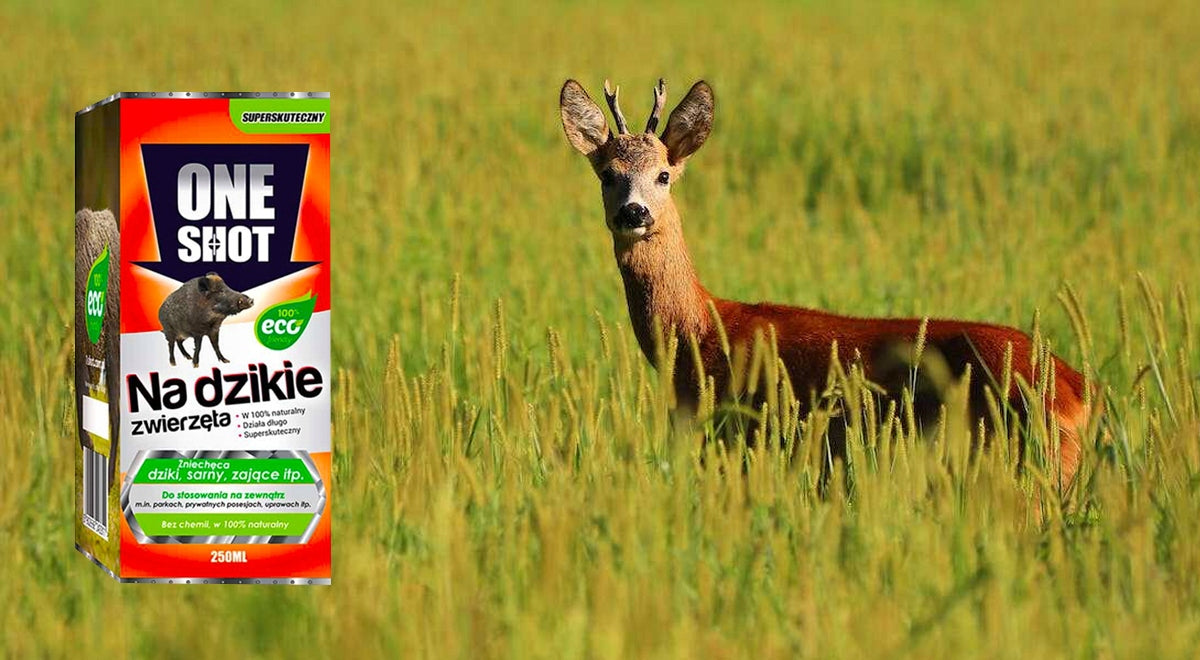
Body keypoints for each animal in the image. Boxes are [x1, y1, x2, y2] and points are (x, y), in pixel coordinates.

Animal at [559, 77, 1094, 491]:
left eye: (664, 175)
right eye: (608, 174)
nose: (634, 212)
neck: (699, 332)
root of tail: (1078, 389)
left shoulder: (733, 435)